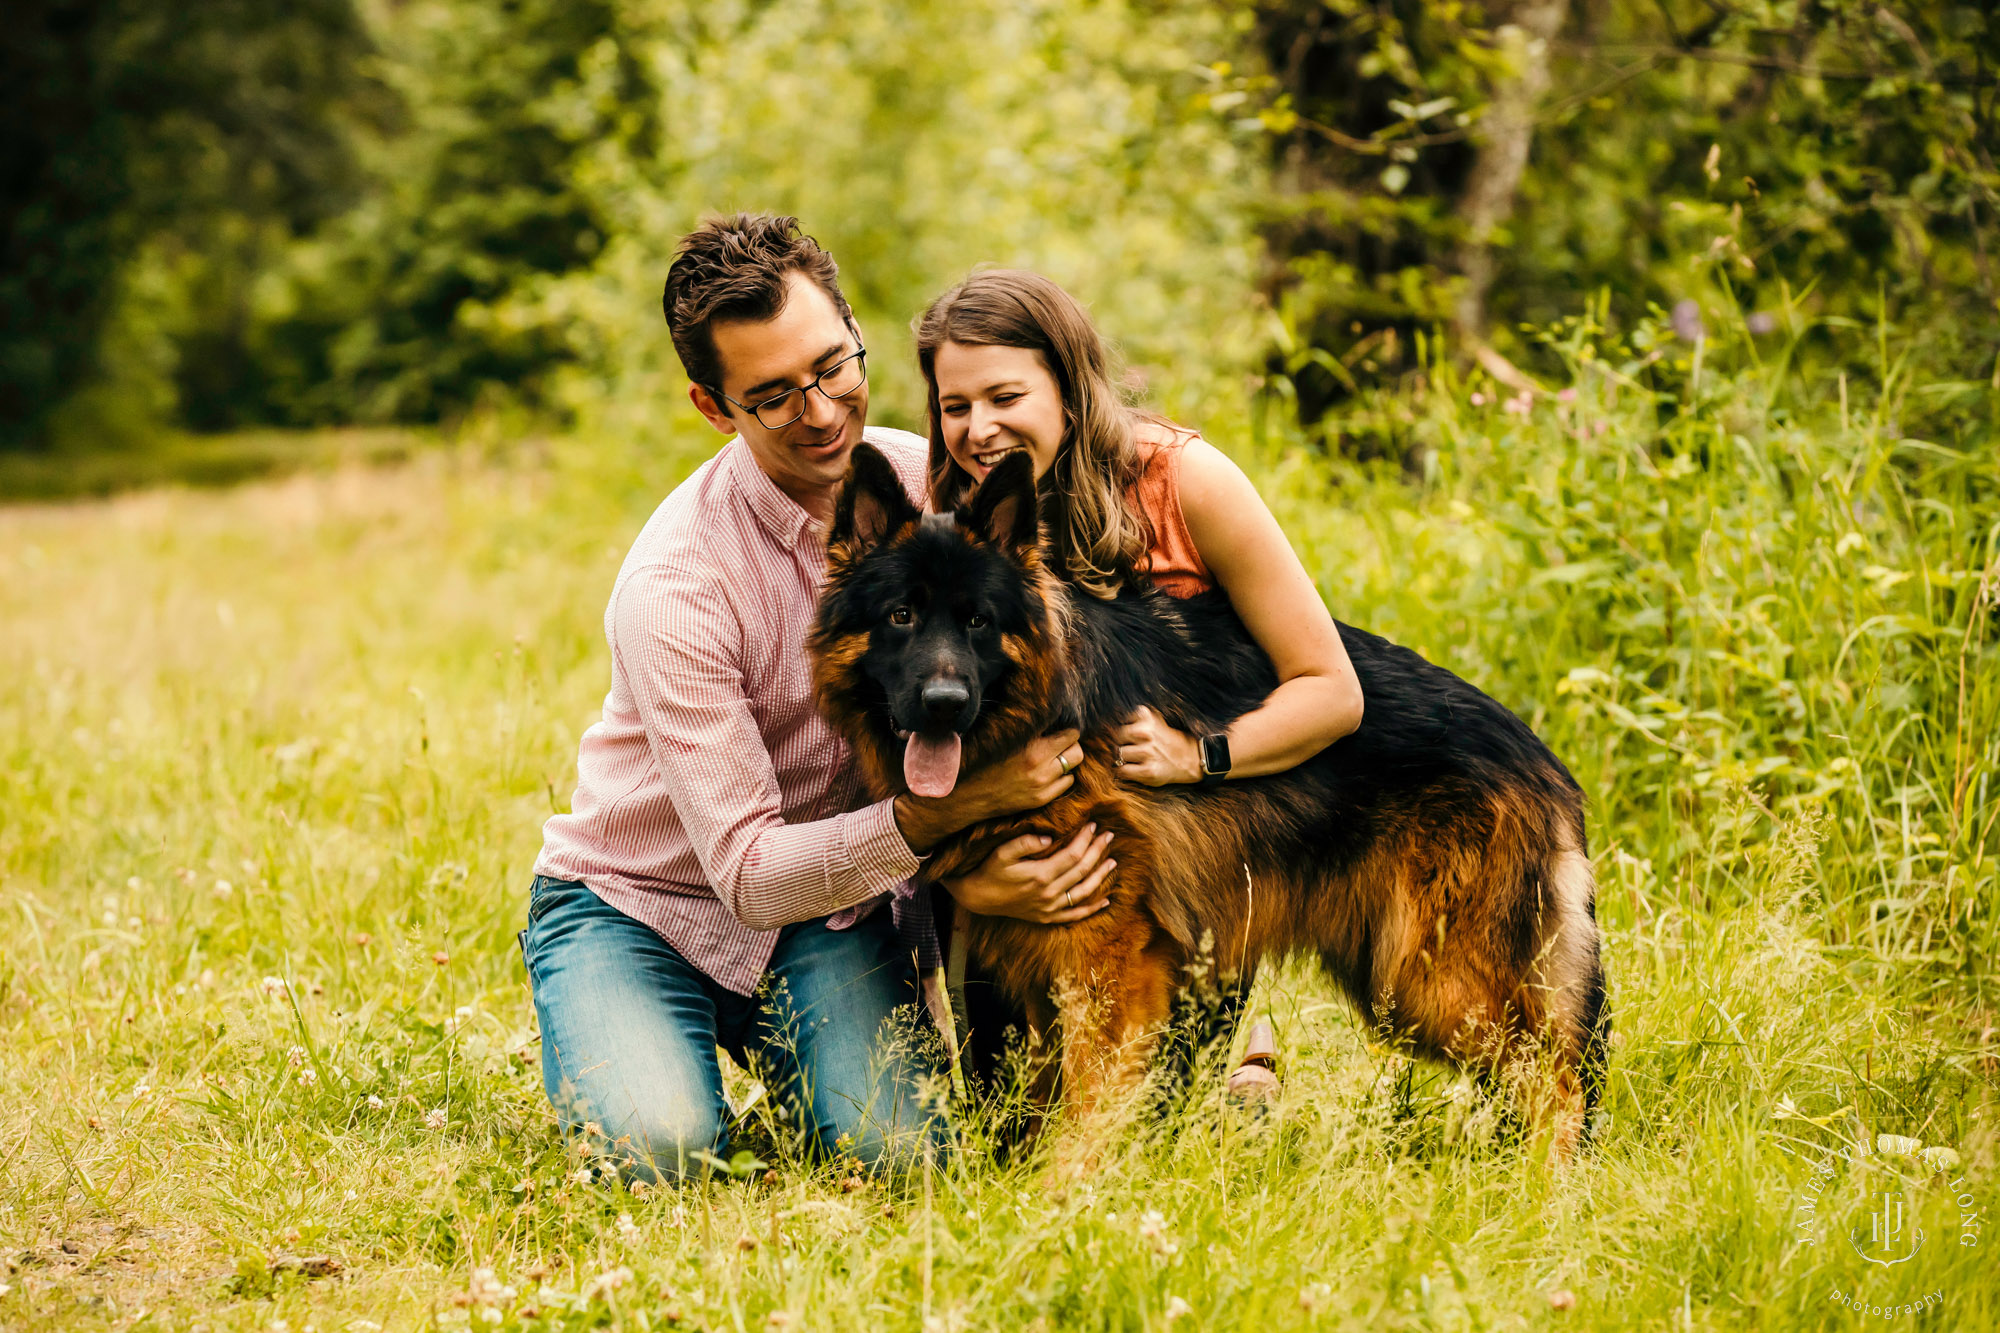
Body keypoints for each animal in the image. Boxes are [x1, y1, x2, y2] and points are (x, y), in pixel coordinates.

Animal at [812, 440, 1608, 1144]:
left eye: (977, 621)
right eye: (901, 616)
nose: (943, 704)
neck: (1043, 712)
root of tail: (1542, 759)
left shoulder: (1107, 960)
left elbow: (1090, 1103)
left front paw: (1069, 1191)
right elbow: (1041, 1100)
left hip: (1432, 982)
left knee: (1556, 1082)